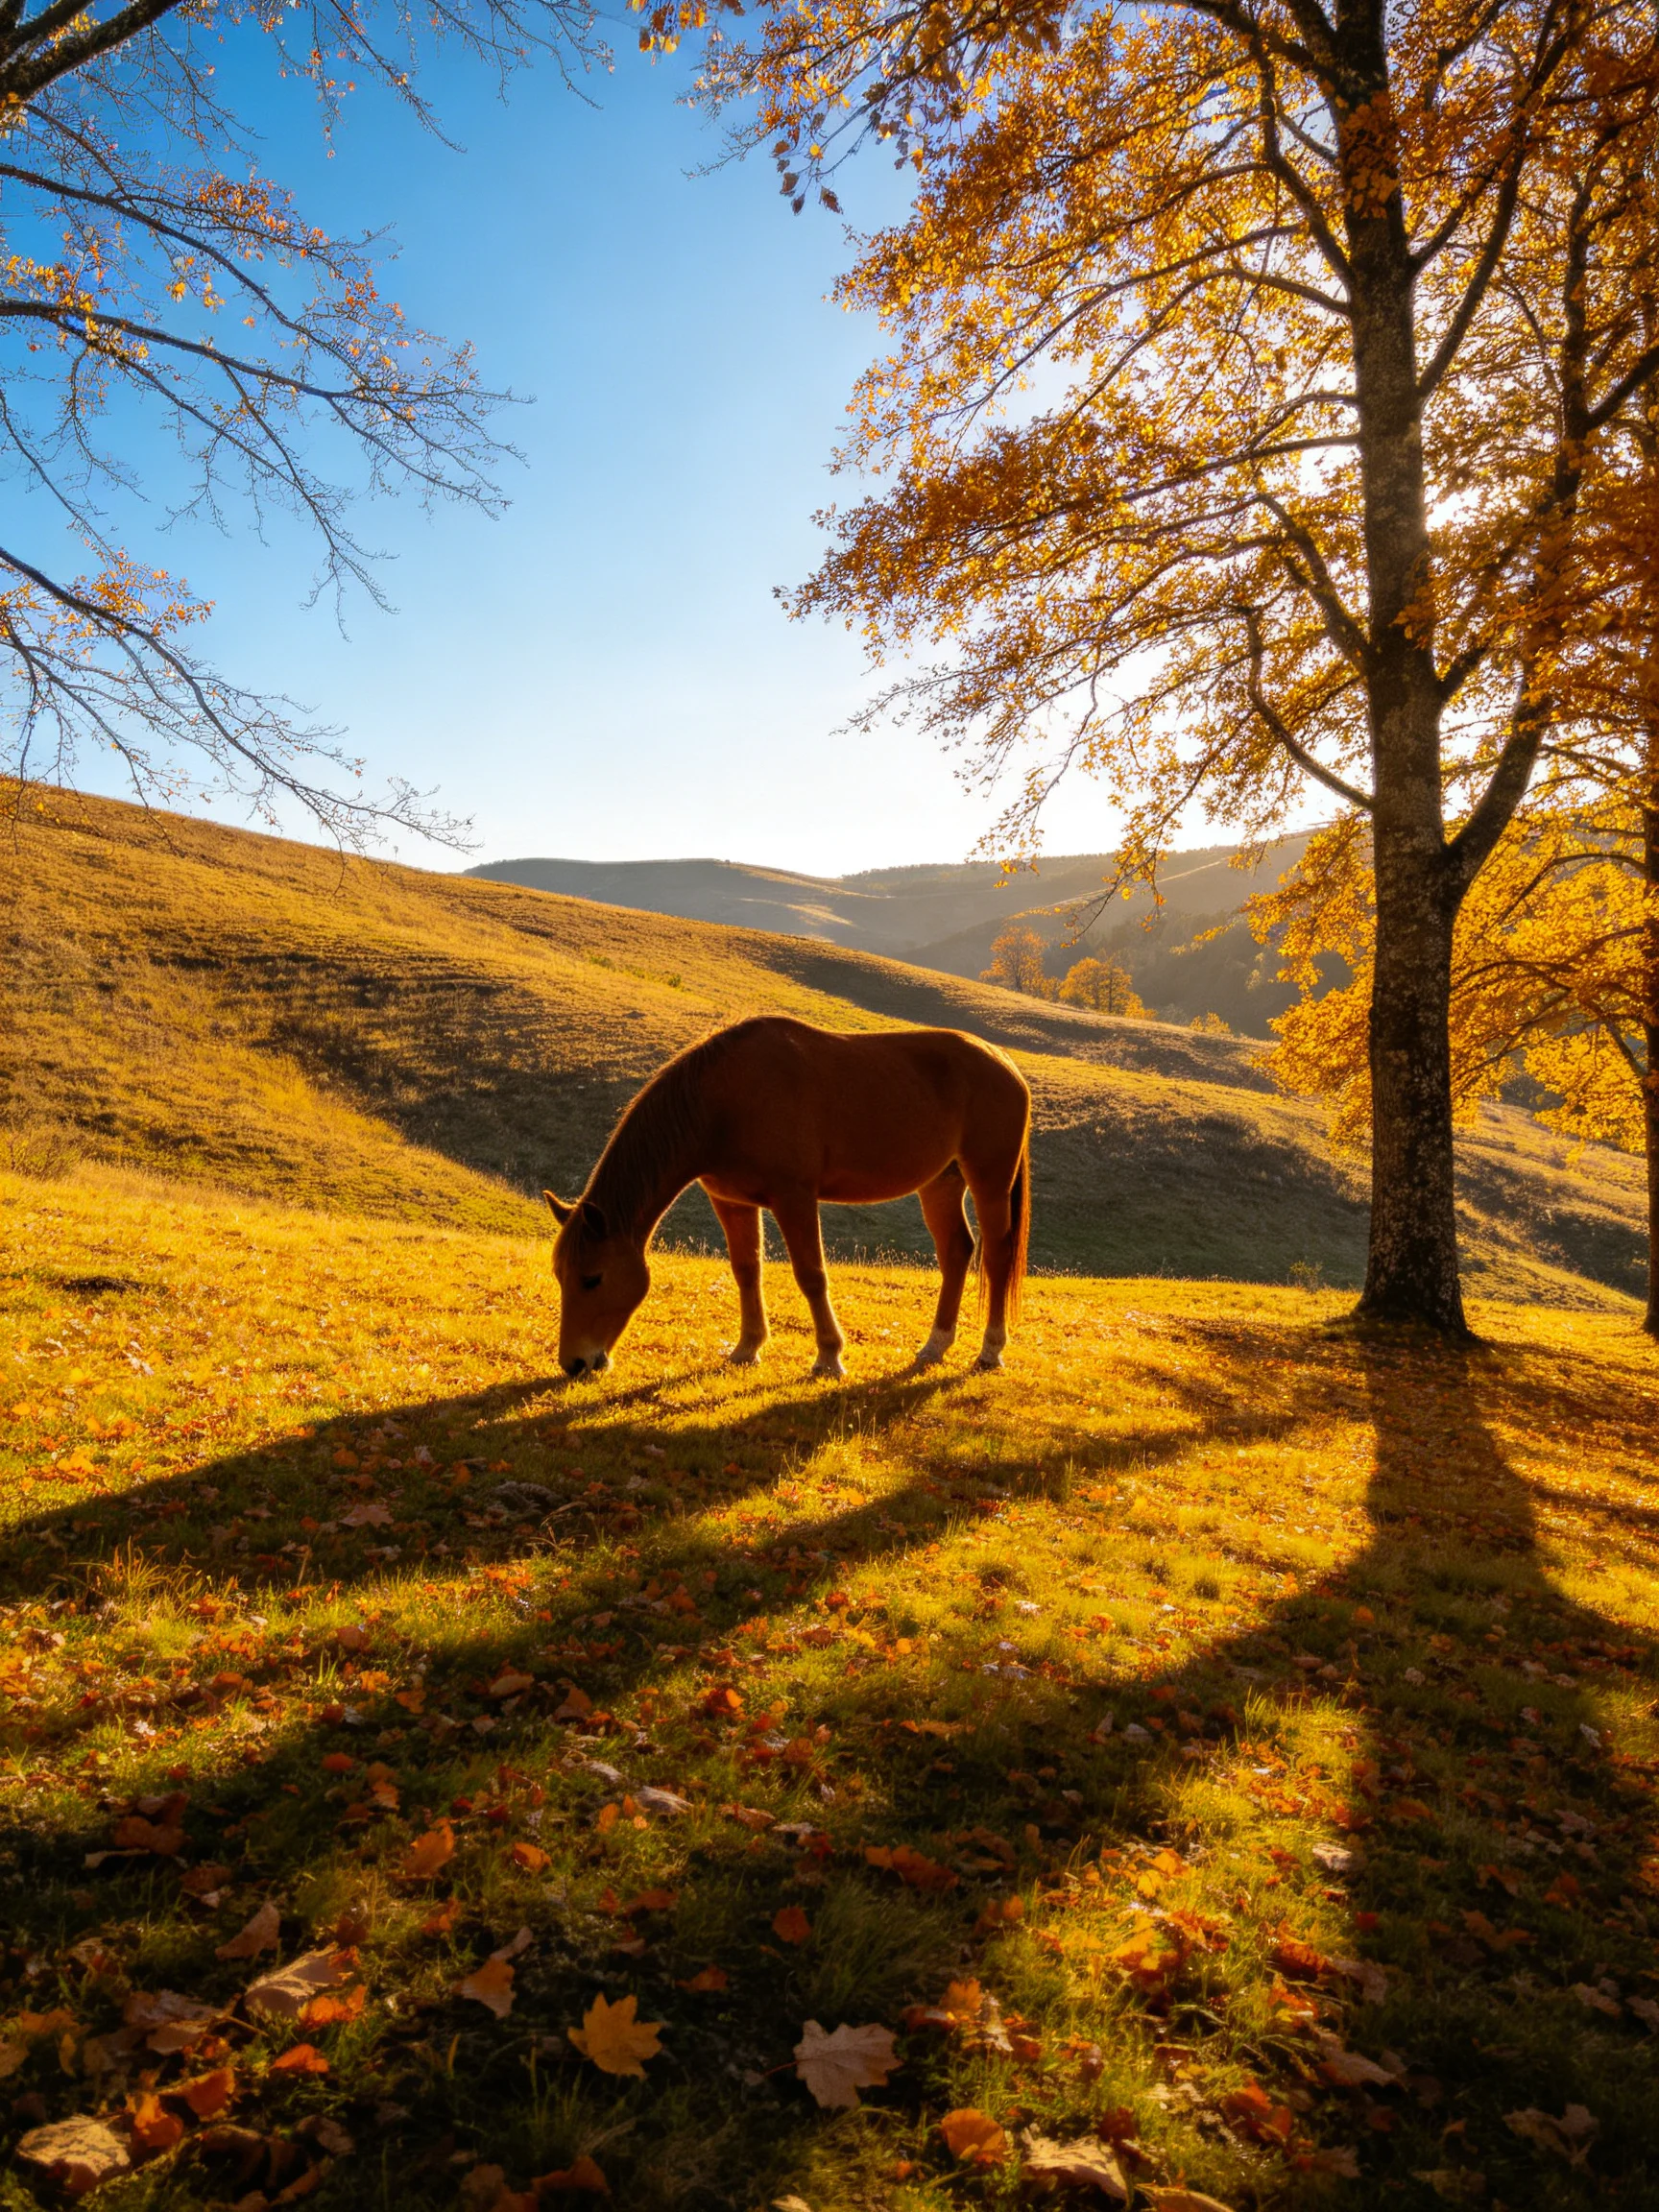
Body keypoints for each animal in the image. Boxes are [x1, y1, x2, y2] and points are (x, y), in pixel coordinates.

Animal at [544, 1015, 1031, 1380]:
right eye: (561, 1276)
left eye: (592, 1278)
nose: (575, 1363)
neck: (723, 1101)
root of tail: (1004, 1062)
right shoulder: (733, 1202)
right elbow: (746, 1271)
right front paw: (747, 1347)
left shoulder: (794, 1197)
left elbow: (811, 1275)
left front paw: (829, 1356)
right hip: (941, 1182)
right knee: (956, 1252)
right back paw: (935, 1344)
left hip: (989, 1180)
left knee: (996, 1255)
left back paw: (990, 1350)